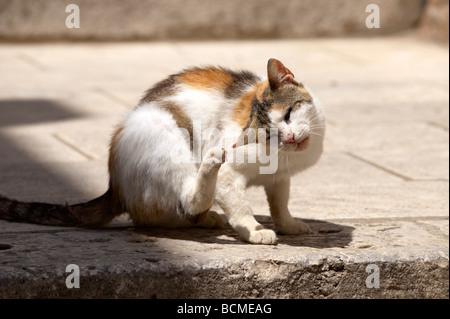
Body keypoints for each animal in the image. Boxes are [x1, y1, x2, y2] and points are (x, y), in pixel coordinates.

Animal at [0, 58, 324, 245]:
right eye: (270, 135)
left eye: (289, 114)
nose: (290, 138)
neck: (287, 158)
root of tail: (115, 188)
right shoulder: (232, 172)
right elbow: (239, 204)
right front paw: (253, 230)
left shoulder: (280, 178)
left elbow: (280, 201)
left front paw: (289, 224)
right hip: (163, 129)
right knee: (185, 202)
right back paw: (208, 172)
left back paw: (208, 218)